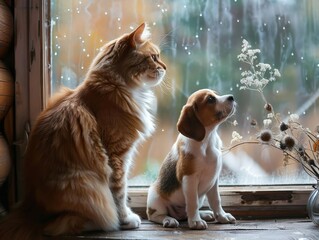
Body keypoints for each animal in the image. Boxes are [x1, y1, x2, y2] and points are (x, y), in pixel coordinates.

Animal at [0, 23, 168, 240]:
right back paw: (107, 223)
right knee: (62, 225)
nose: (165, 68)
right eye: (154, 57)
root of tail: (29, 210)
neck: (116, 86)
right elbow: (119, 193)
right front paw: (126, 219)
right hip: (86, 186)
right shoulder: (117, 155)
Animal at [148, 89, 238, 230]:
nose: (232, 97)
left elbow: (216, 200)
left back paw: (205, 214)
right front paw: (195, 221)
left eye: (216, 94)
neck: (207, 140)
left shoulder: (214, 179)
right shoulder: (189, 178)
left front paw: (222, 216)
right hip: (155, 198)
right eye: (210, 99)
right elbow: (192, 202)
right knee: (154, 215)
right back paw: (169, 219)